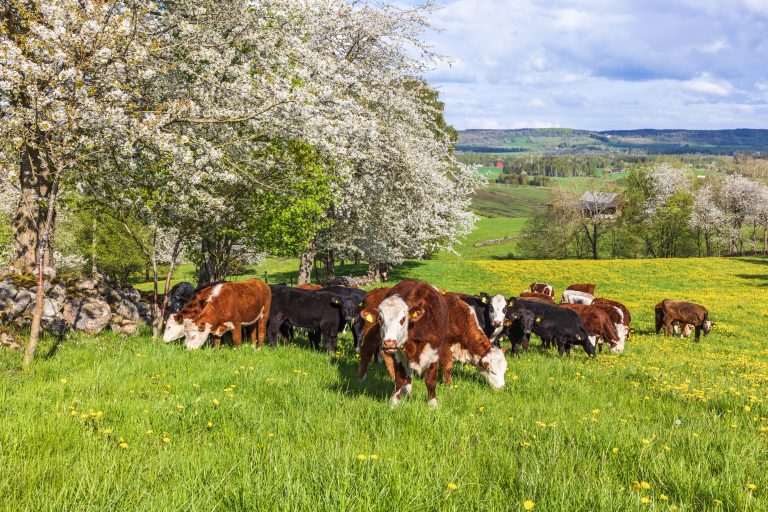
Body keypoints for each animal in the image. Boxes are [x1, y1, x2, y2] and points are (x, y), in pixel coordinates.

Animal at [360, 278, 450, 406]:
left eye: (403, 319)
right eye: (380, 319)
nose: (389, 342)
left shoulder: (434, 353)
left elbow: (430, 380)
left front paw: (432, 403)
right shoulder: (398, 355)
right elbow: (400, 378)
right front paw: (394, 402)